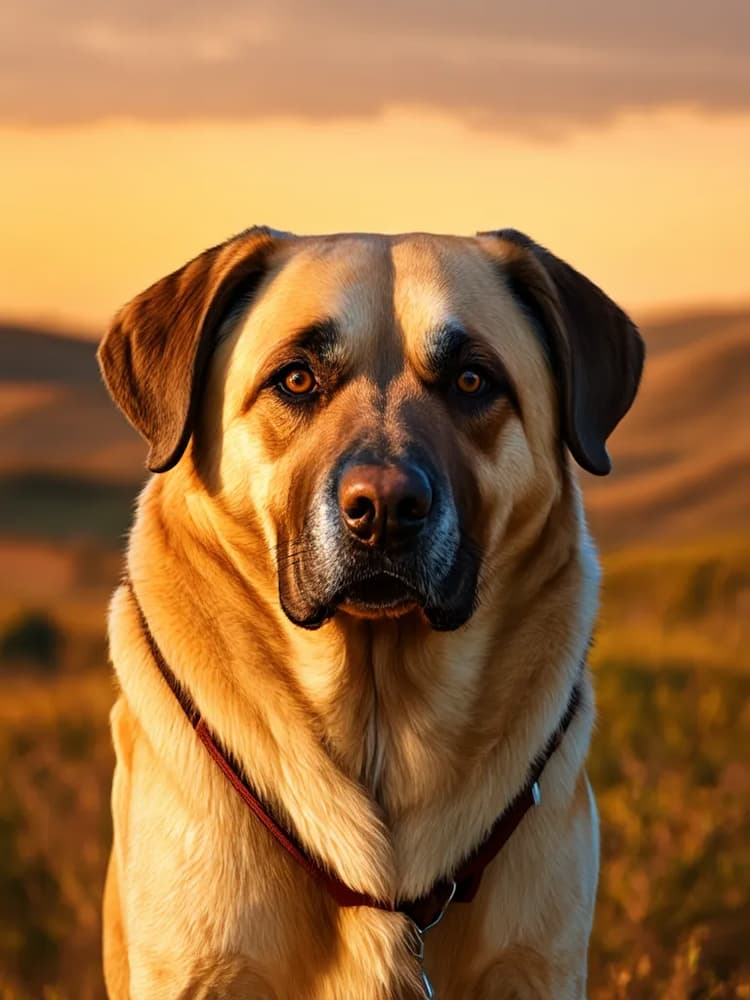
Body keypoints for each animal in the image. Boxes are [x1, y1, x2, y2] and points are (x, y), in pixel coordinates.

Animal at [97, 229, 644, 1000]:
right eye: (297, 380)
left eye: (472, 381)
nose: (385, 509)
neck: (380, 713)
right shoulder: (196, 970)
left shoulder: (538, 965)